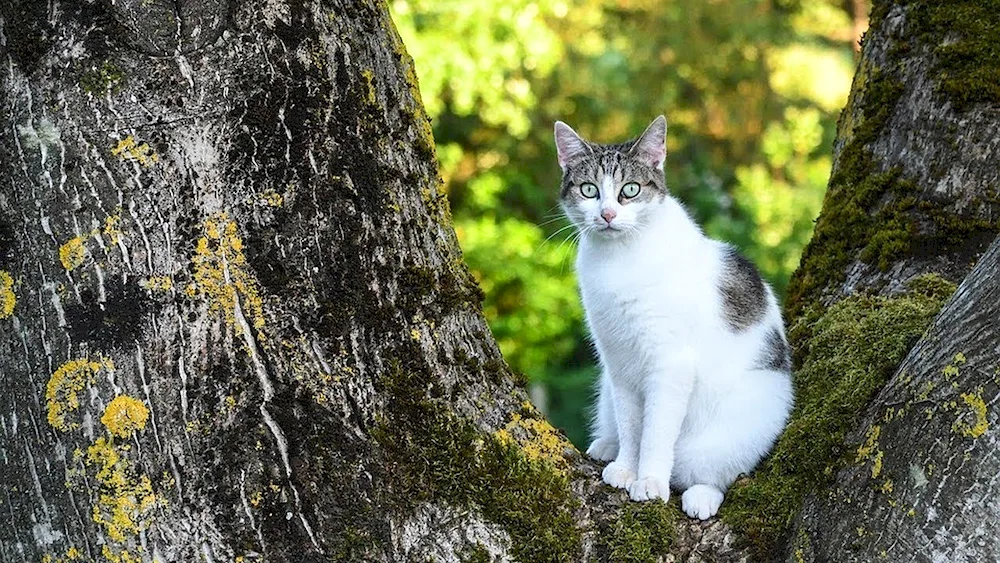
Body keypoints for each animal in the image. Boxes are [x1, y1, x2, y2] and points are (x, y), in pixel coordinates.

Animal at [556, 115, 796, 520]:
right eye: (589, 190)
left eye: (630, 190)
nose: (607, 215)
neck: (618, 259)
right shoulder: (618, 362)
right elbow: (632, 424)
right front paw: (626, 467)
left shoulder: (670, 364)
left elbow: (655, 432)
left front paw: (650, 481)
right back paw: (606, 444)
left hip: (742, 423)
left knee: (717, 472)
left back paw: (700, 496)